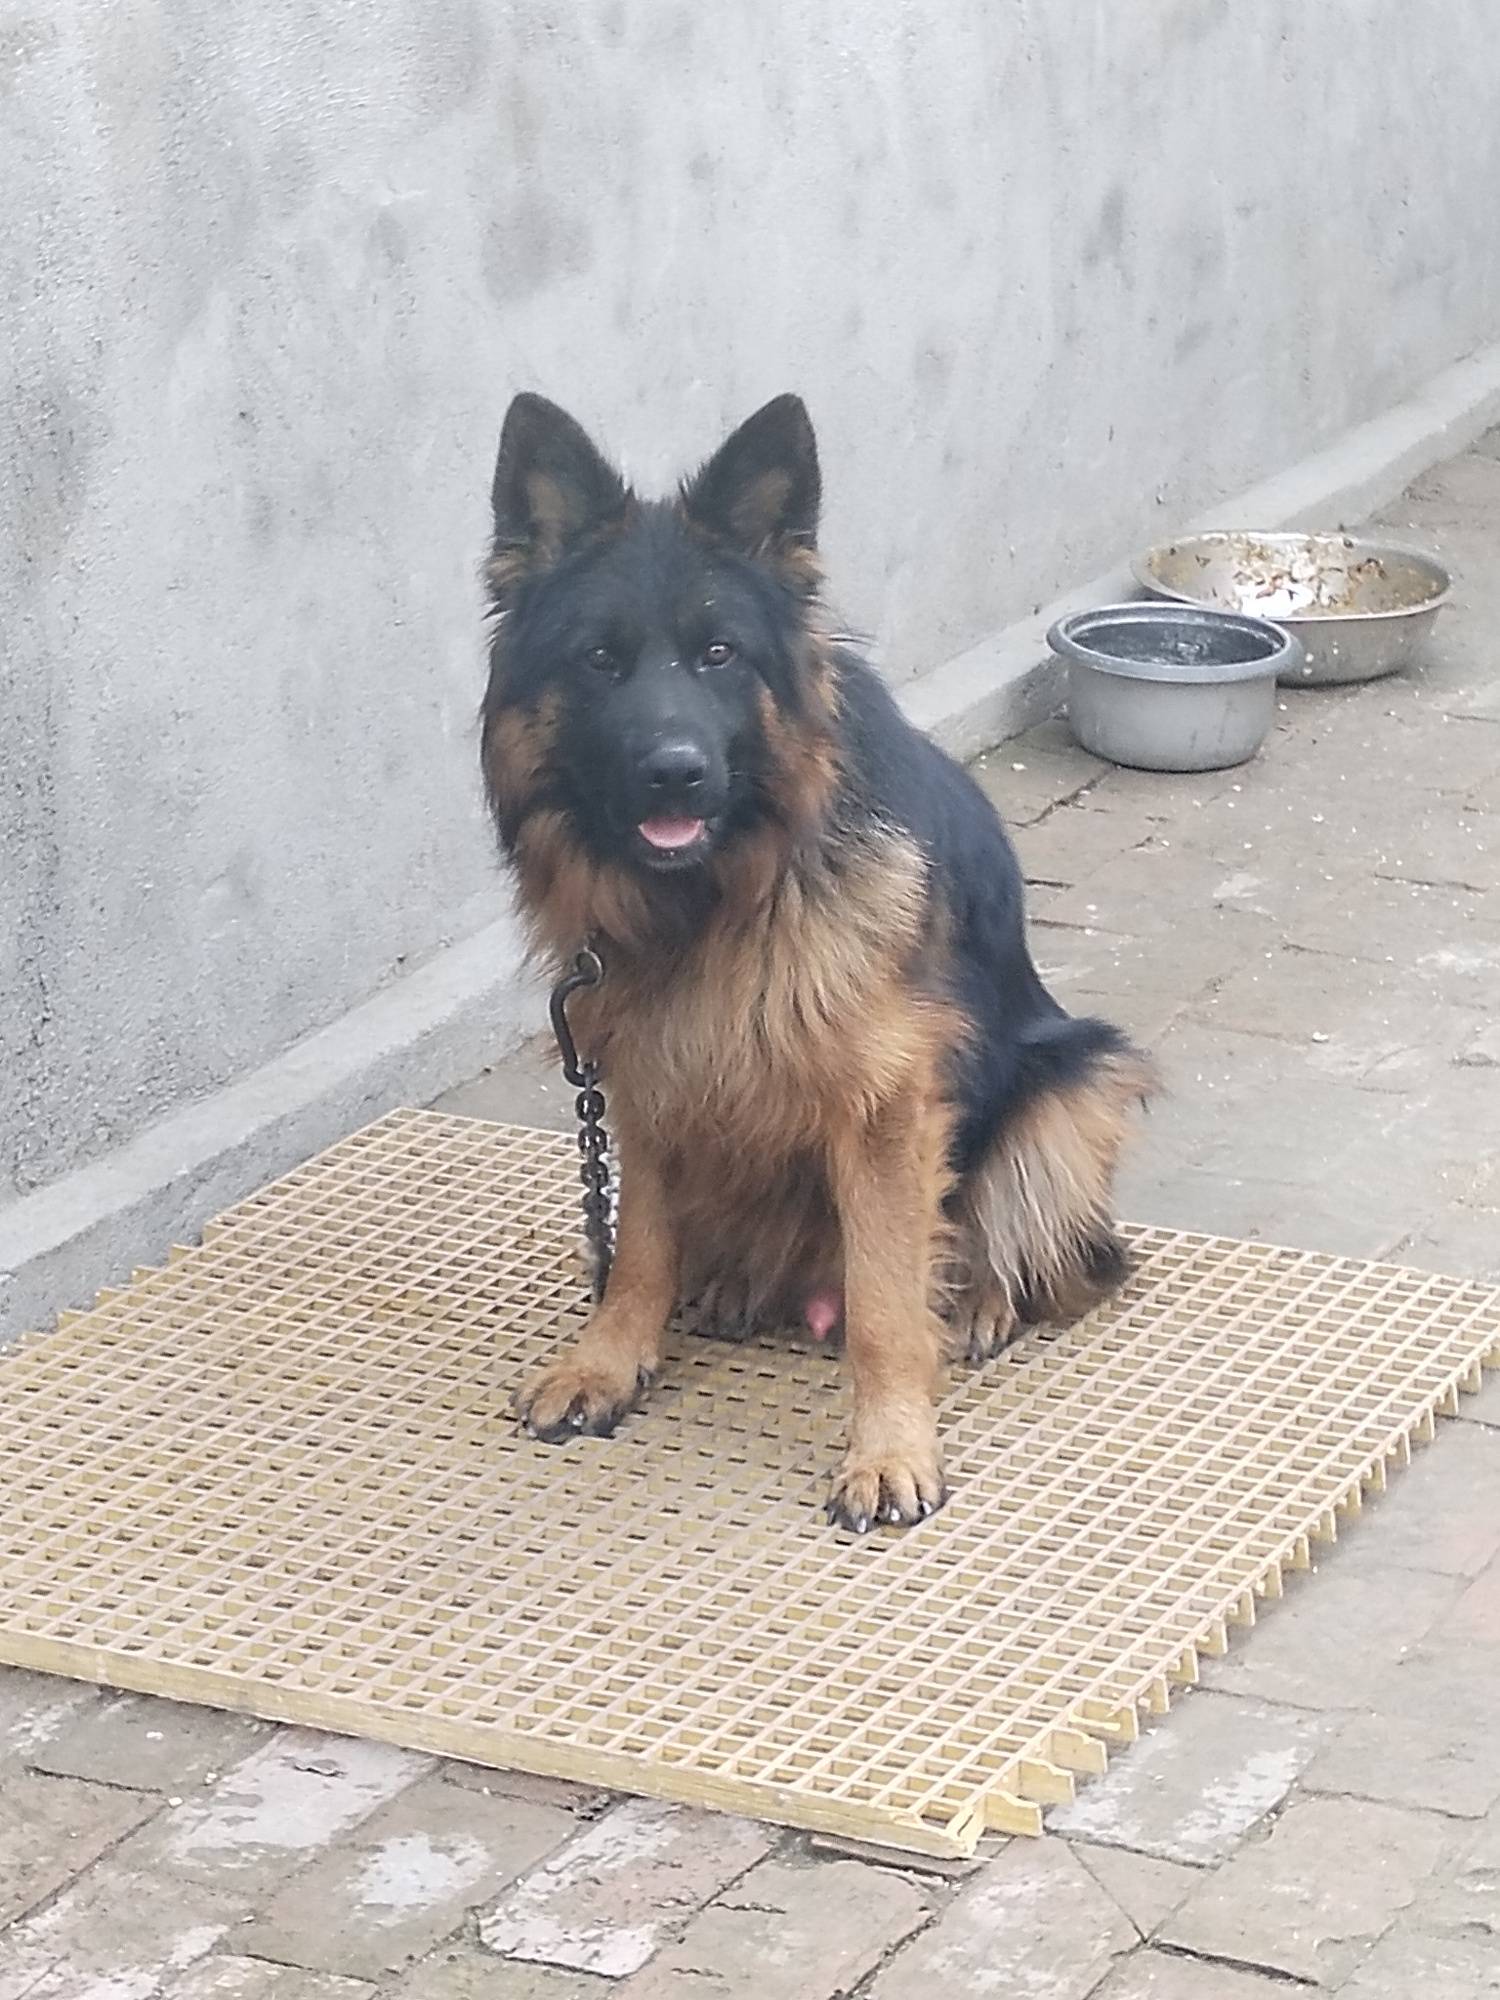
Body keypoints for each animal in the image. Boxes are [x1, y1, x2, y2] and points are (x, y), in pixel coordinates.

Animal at [480, 391, 1155, 1531]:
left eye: (718, 653)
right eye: (600, 660)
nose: (675, 771)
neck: (718, 899)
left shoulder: (884, 1106)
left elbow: (885, 1303)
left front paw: (890, 1448)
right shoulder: (642, 1070)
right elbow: (638, 1245)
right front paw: (609, 1361)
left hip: (1077, 1078)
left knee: (1006, 1240)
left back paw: (977, 1302)